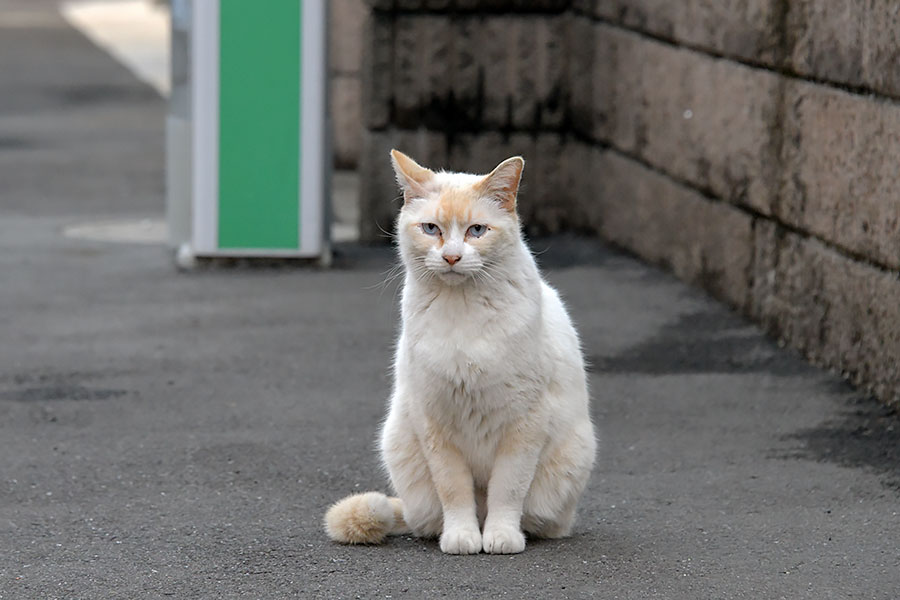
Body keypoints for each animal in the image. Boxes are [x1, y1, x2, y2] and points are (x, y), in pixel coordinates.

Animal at [326, 150, 596, 552]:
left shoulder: (524, 426)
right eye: (431, 229)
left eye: (477, 231)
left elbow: (507, 490)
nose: (452, 257)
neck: (462, 310)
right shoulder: (435, 425)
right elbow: (454, 491)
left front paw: (500, 537)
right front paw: (462, 537)